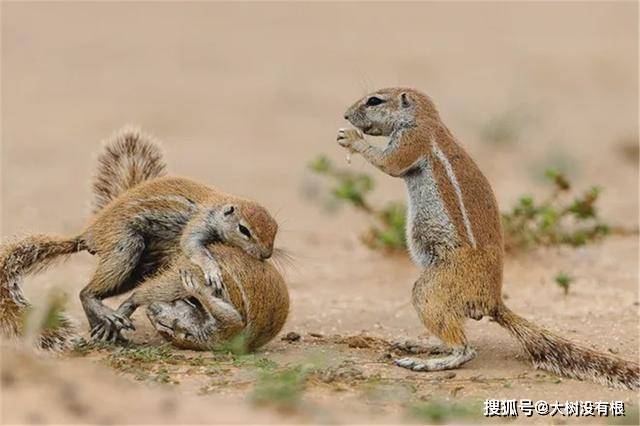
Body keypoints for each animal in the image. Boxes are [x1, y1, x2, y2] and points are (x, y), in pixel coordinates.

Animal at [0, 127, 280, 350]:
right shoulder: (198, 222)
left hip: (138, 268)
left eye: (276, 229)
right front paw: (211, 270)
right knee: (85, 292)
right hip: (124, 246)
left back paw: (104, 327)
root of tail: (88, 234)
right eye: (244, 230)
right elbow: (192, 246)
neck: (218, 204)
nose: (266, 254)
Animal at [338, 86, 636, 390]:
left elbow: (389, 164)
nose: (346, 115)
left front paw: (351, 138)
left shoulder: (412, 140)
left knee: (465, 349)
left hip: (432, 289)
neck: (425, 120)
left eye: (374, 100)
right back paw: (422, 345)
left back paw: (429, 362)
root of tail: (492, 302)